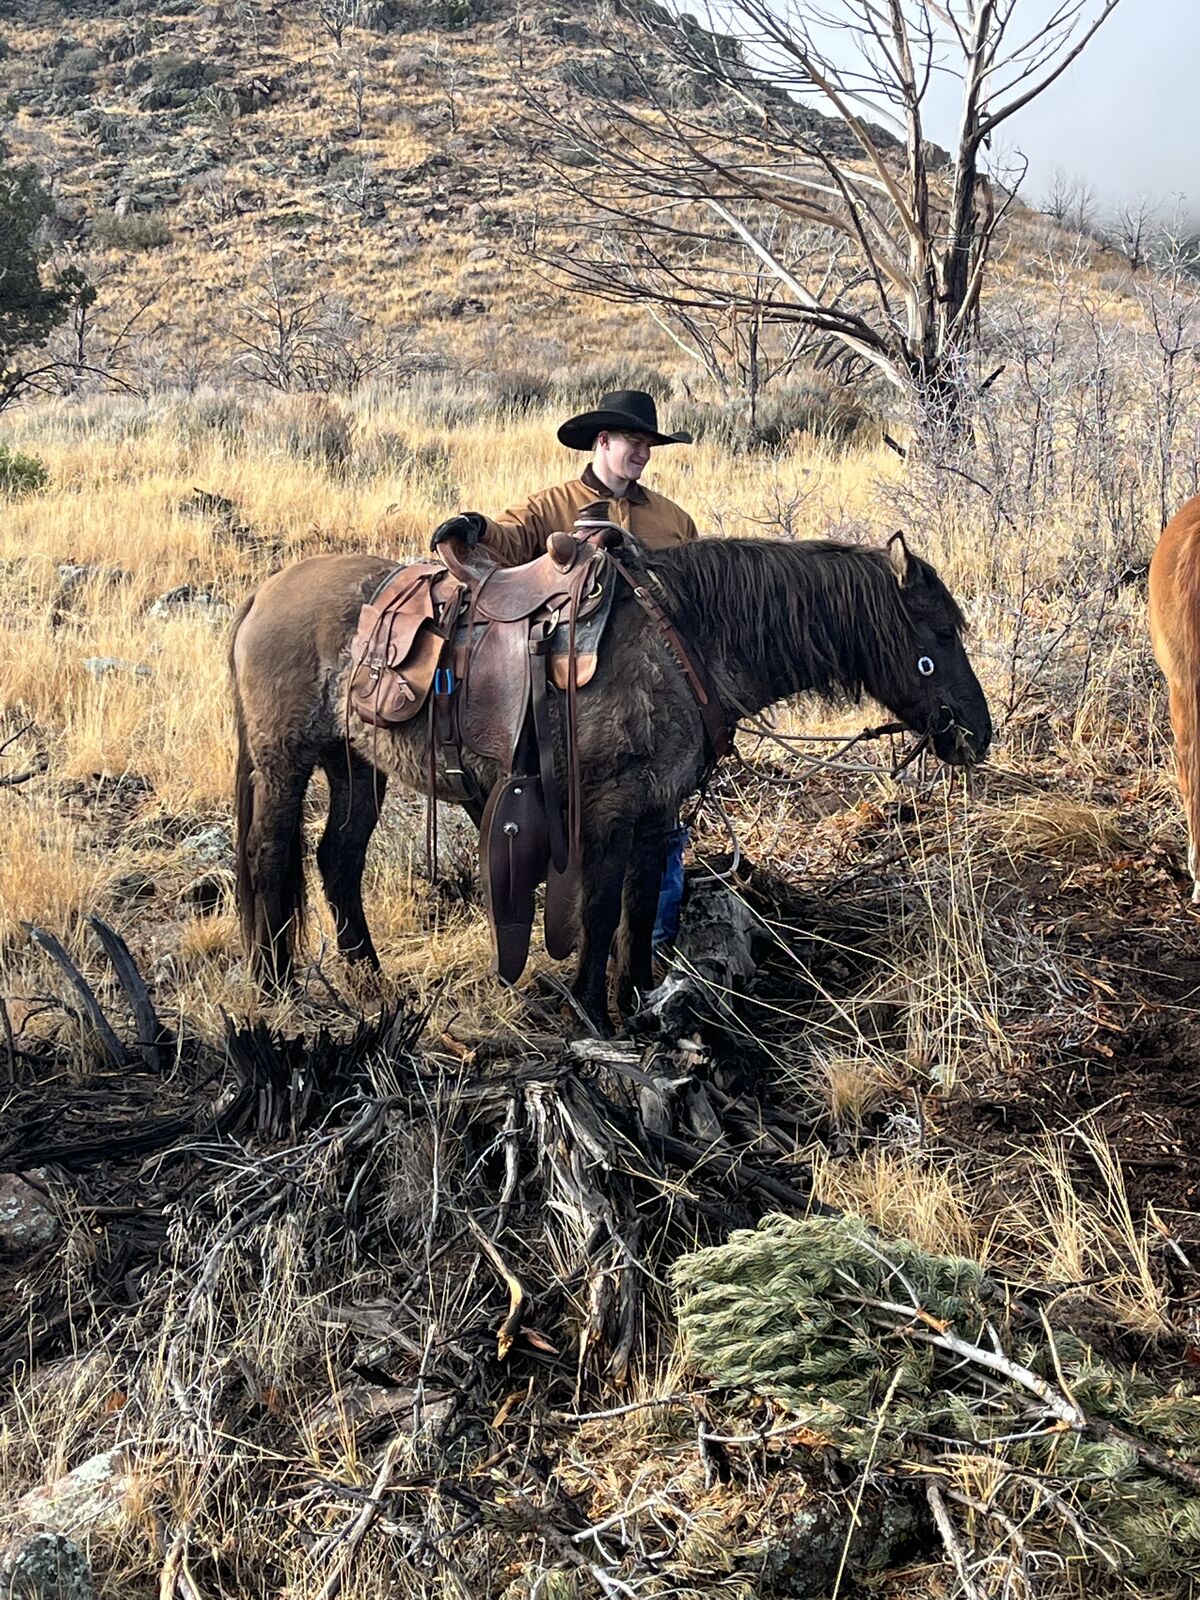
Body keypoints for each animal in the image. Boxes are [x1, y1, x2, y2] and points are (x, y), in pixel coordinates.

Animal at [229, 532, 992, 1026]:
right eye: (941, 634)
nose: (978, 734)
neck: (685, 644)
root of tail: (265, 591)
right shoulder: (607, 811)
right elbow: (597, 914)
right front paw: (594, 1015)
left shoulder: (656, 811)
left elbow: (640, 905)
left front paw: (638, 1003)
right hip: (284, 760)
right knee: (270, 857)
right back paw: (276, 986)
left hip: (355, 765)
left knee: (338, 858)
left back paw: (368, 976)